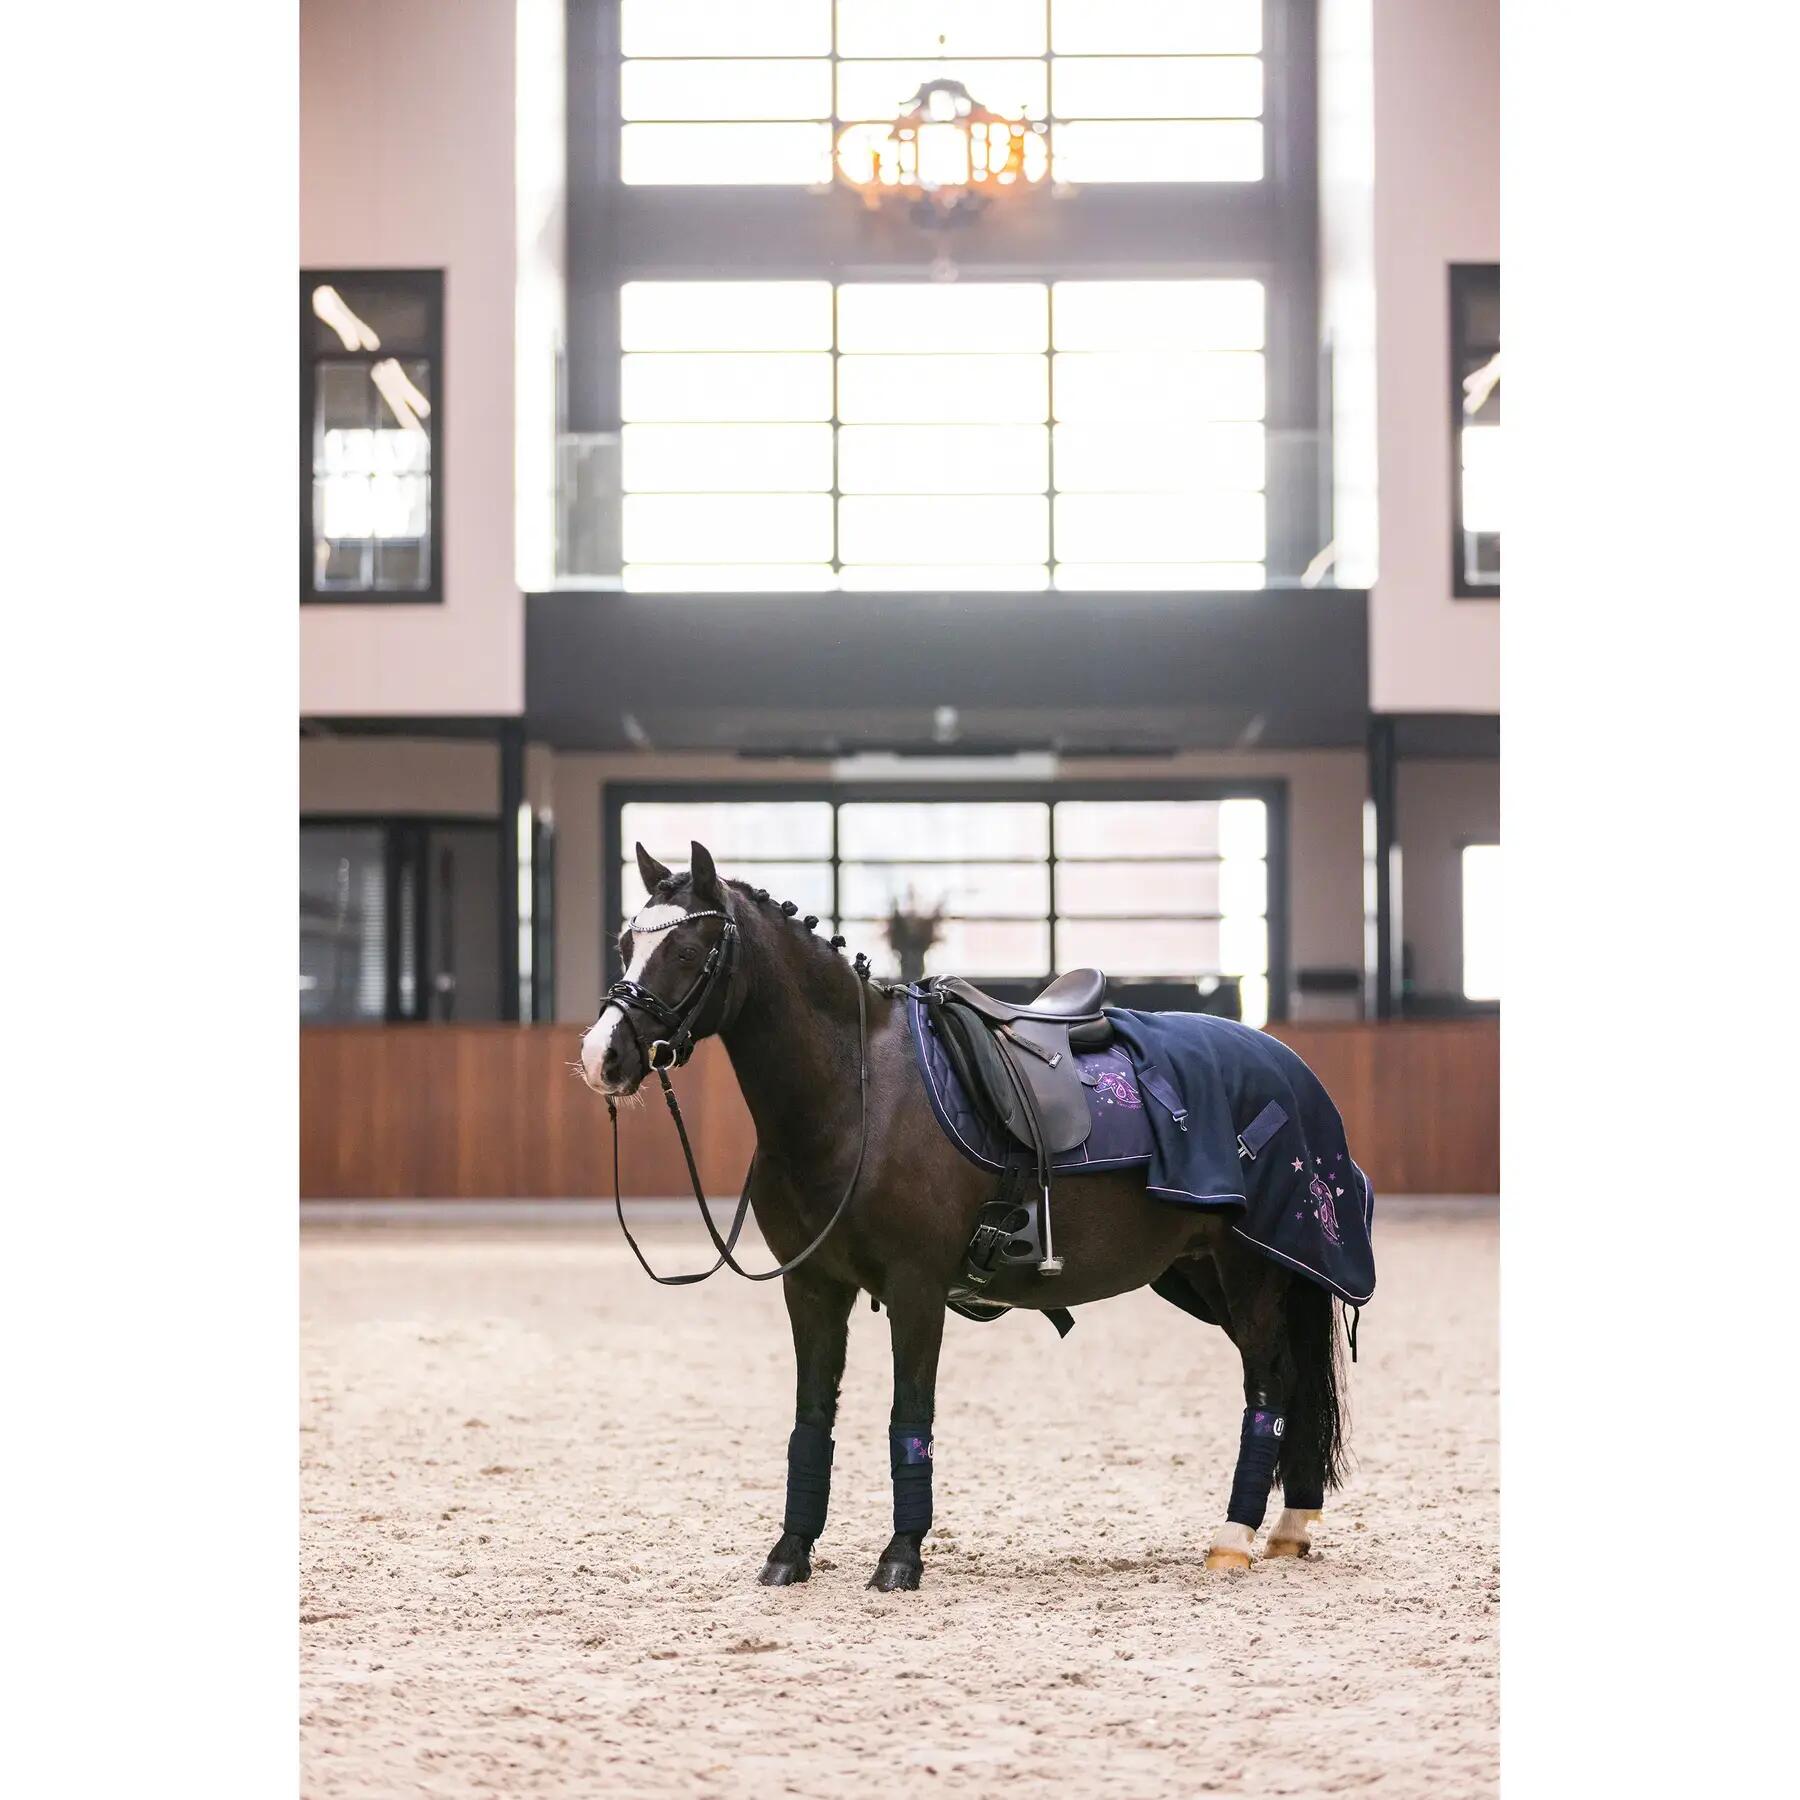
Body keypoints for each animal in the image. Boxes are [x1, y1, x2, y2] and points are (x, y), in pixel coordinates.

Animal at [580, 841, 1348, 1592]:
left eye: (688, 950)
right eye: (625, 943)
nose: (601, 1055)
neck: (860, 1095)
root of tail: (1285, 1064)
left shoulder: (916, 1287)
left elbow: (909, 1414)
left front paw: (900, 1556)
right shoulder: (813, 1287)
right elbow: (812, 1415)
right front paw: (791, 1551)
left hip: (1253, 1270)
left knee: (1269, 1383)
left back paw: (1234, 1539)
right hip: (1202, 1274)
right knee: (1291, 1380)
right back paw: (1289, 1526)